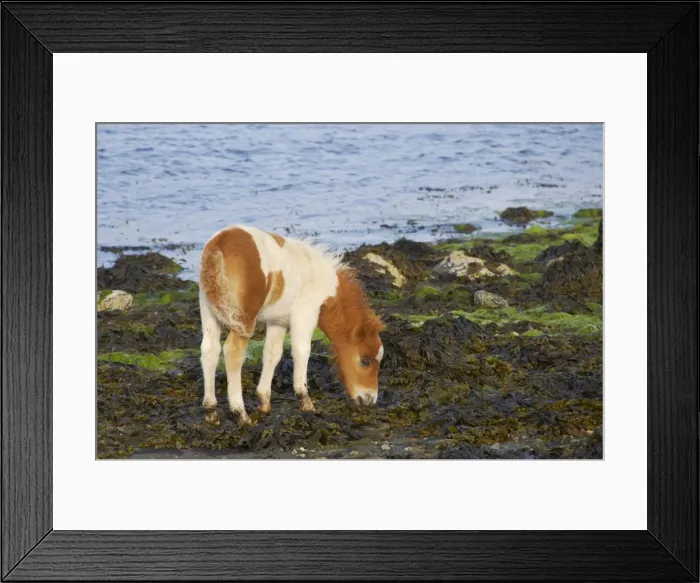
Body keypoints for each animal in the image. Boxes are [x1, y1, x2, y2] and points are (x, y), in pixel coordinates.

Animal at [198, 224, 385, 425]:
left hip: (208, 311)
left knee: (210, 350)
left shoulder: (277, 321)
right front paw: (306, 402)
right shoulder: (305, 315)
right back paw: (240, 413)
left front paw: (264, 402)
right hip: (243, 319)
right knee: (232, 352)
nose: (369, 398)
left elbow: (272, 354)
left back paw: (211, 411)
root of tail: (220, 244)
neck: (324, 285)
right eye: (365, 361)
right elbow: (301, 351)